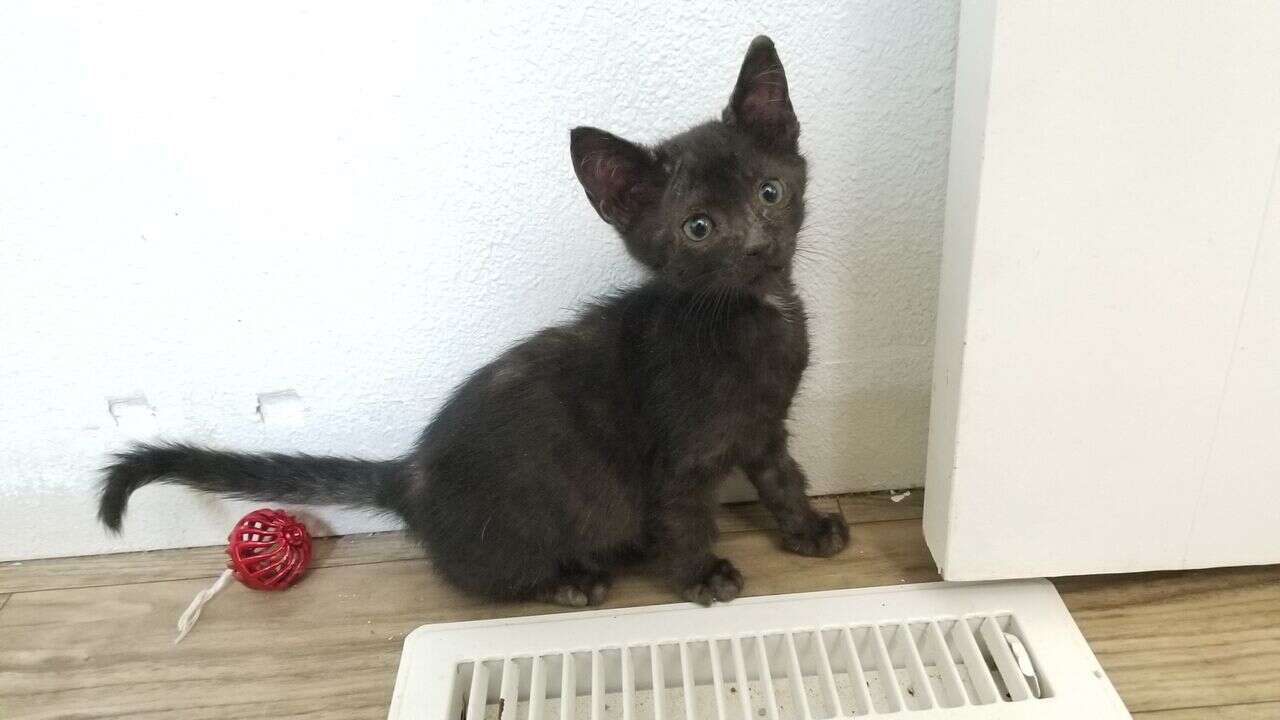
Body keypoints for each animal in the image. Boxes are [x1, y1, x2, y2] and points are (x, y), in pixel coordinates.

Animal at [99, 36, 849, 602]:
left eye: (770, 192)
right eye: (698, 228)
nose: (756, 247)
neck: (754, 315)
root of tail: (408, 477)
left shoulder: (764, 428)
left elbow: (783, 479)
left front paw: (810, 529)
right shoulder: (680, 457)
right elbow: (687, 517)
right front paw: (701, 575)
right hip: (525, 527)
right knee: (482, 577)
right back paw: (573, 578)